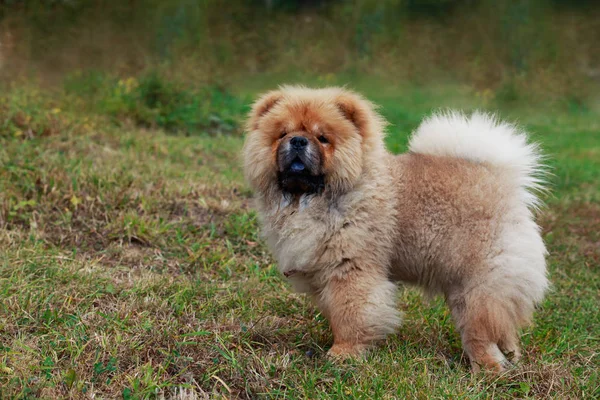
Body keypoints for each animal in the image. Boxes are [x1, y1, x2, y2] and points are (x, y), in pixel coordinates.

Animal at [241, 85, 548, 372]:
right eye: (281, 134)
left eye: (323, 138)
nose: (297, 140)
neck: (312, 199)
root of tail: (500, 179)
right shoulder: (321, 270)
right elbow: (335, 310)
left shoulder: (350, 269)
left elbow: (351, 315)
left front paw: (343, 354)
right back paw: (509, 358)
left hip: (479, 283)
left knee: (483, 328)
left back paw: (488, 368)